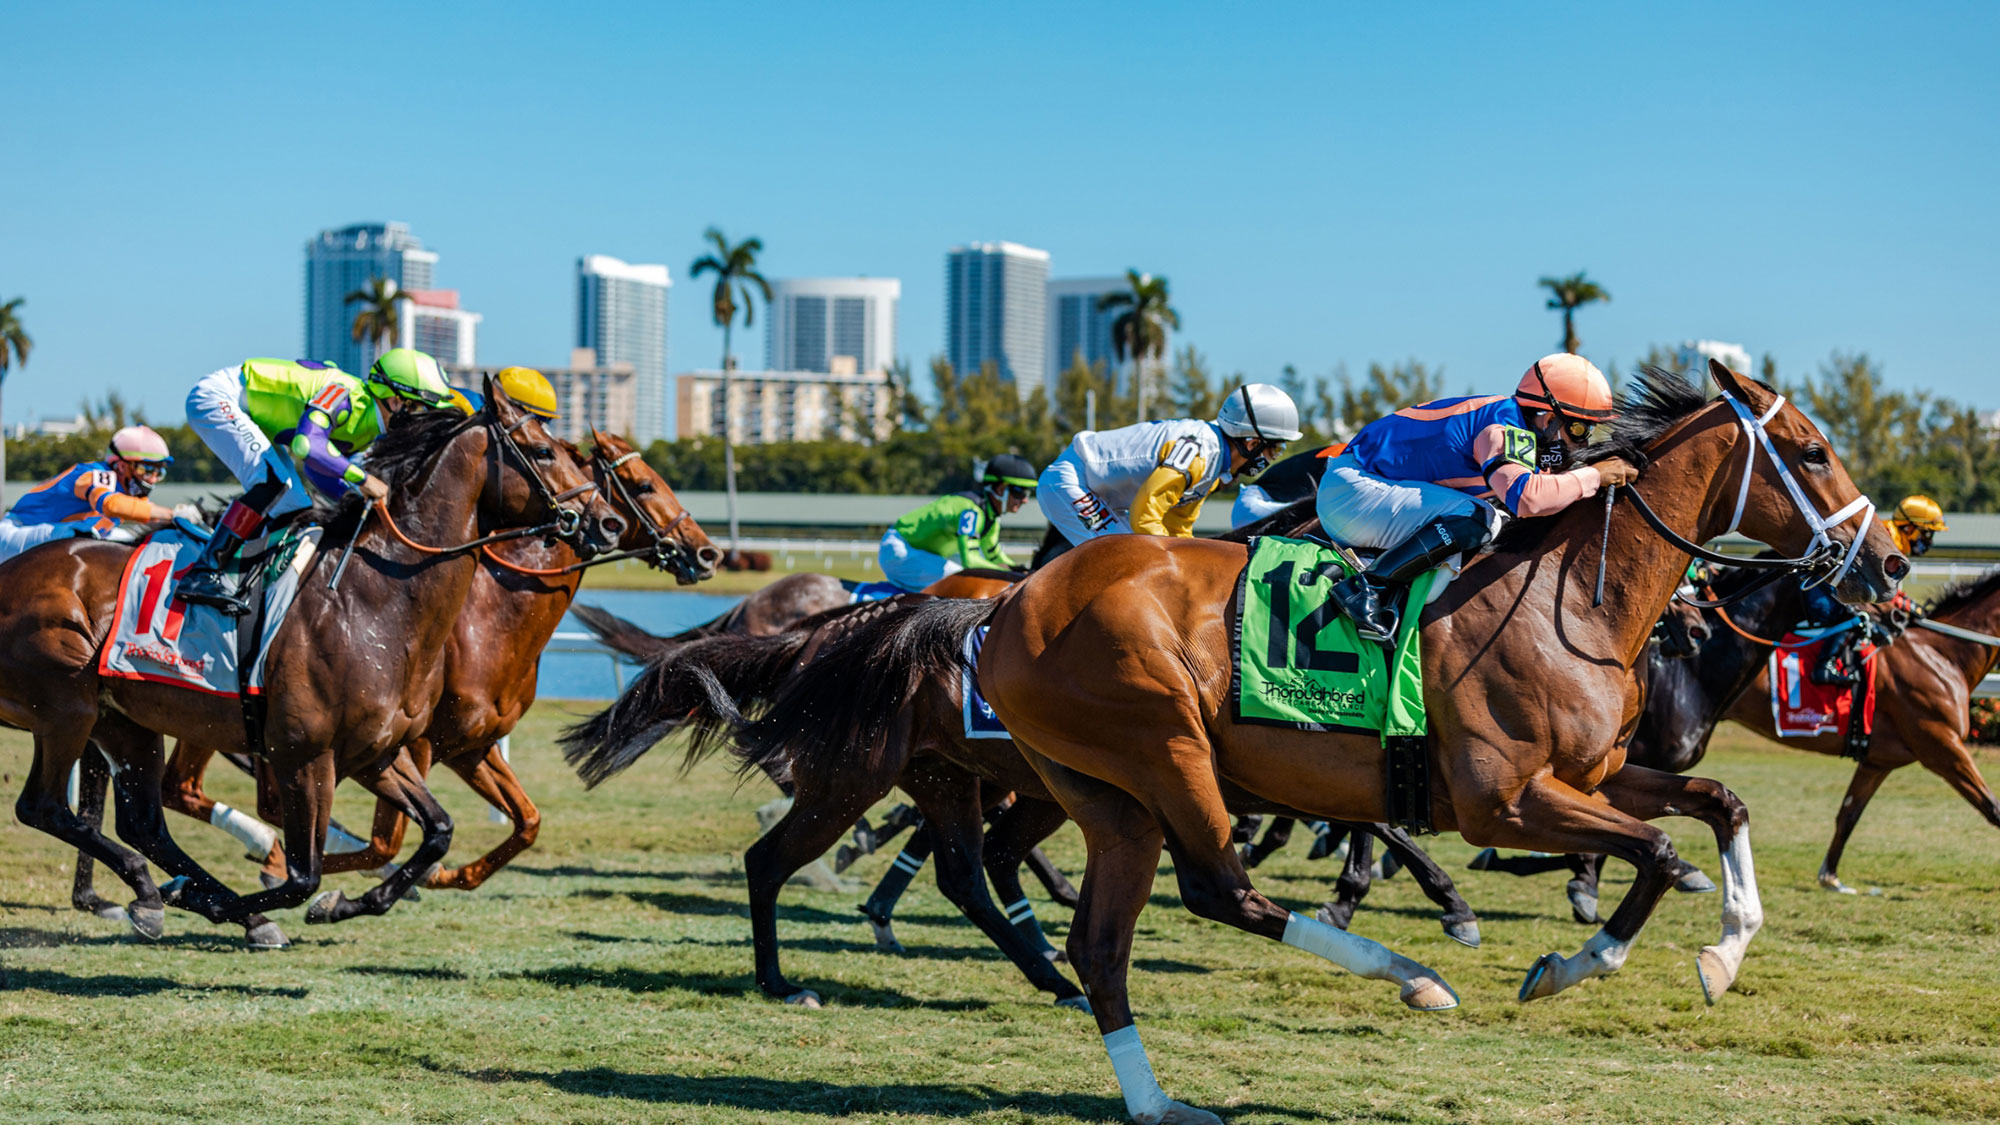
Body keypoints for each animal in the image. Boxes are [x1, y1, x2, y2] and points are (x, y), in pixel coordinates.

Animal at [0, 384, 620, 936]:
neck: (373, 600)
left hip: (126, 721)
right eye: (544, 451)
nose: (608, 522)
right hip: (67, 706)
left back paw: (161, 893)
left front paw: (345, 904)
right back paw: (178, 895)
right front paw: (248, 900)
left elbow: (436, 831)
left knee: (144, 824)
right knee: (44, 808)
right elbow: (304, 875)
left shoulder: (379, 753)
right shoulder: (303, 755)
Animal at [956, 364, 1904, 1112]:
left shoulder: (1591, 777)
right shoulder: (1504, 803)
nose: (1891, 565)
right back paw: (1413, 977)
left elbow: (1719, 803)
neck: (1568, 599)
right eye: (1813, 452)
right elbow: (1660, 852)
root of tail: (1014, 601)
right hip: (1166, 752)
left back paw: (1155, 1099)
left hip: (1111, 797)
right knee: (1219, 890)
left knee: (1104, 944)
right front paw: (1575, 961)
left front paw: (1726, 950)